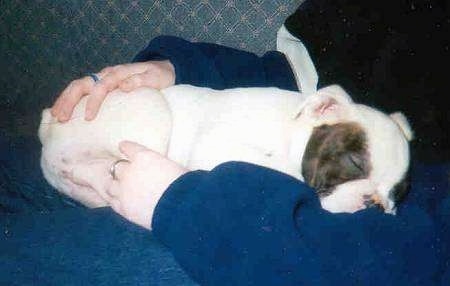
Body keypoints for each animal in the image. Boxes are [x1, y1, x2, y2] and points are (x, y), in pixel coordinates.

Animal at [38, 85, 412, 214]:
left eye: (398, 194)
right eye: (354, 163)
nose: (375, 202)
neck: (291, 132)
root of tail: (48, 123)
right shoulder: (216, 147)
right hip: (151, 106)